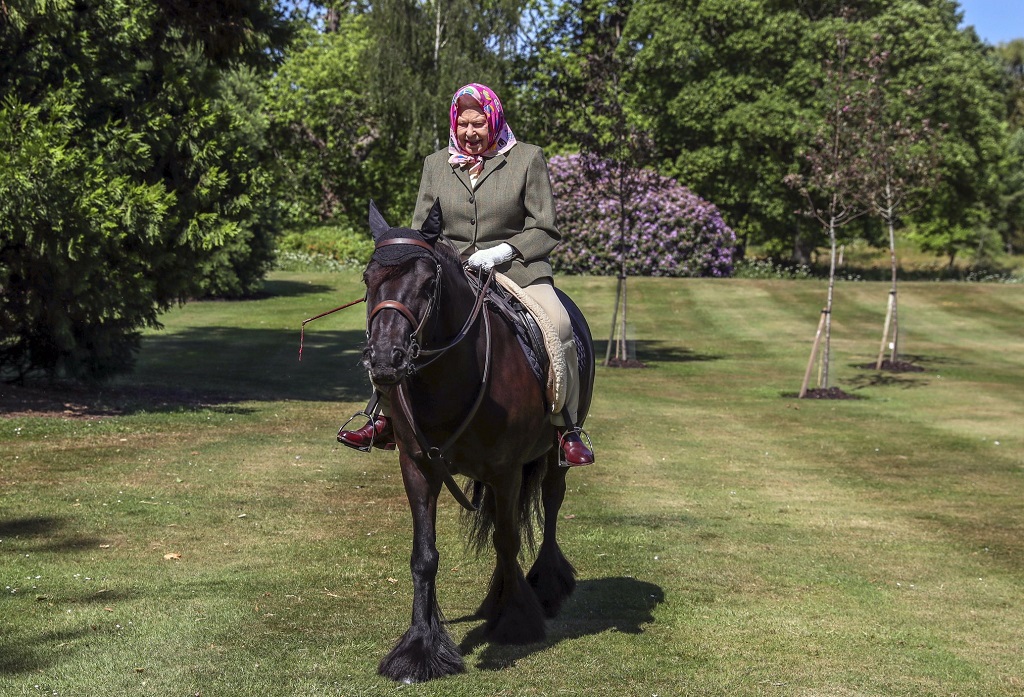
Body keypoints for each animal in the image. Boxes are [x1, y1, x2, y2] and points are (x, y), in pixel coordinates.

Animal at [364, 198, 598, 683]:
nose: (384, 360)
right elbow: (424, 555)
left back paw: (546, 587)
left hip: (554, 456)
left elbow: (507, 541)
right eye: (367, 279)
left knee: (550, 506)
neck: (447, 377)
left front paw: (516, 621)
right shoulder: (418, 467)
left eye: (428, 282)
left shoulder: (506, 470)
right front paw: (420, 648)